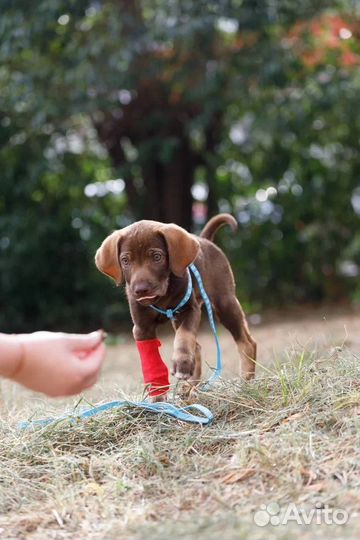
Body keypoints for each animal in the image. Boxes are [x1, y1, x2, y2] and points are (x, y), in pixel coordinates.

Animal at [95, 212, 256, 384]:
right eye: (125, 260)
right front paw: (157, 389)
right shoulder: (142, 328)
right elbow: (151, 360)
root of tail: (205, 240)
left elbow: (184, 336)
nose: (141, 290)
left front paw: (181, 363)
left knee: (247, 342)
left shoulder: (189, 310)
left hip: (225, 302)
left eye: (157, 257)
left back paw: (246, 378)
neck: (162, 297)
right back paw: (190, 385)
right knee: (197, 347)